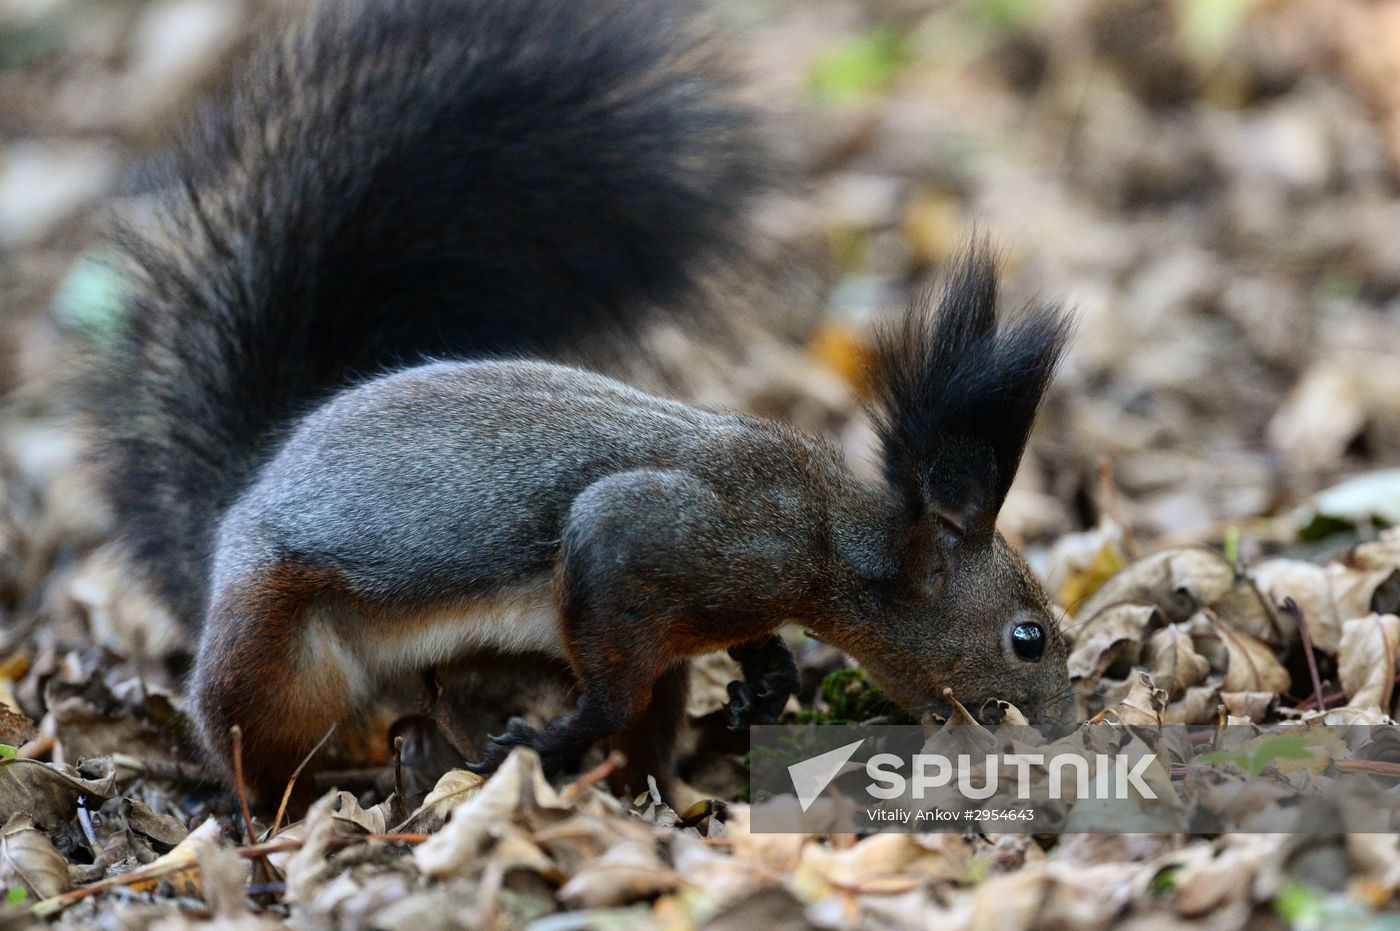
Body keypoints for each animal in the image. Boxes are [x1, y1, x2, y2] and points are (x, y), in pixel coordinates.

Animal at [85, 0, 1074, 807]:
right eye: (1026, 637)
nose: (1070, 724)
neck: (829, 537)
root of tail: (241, 502)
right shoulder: (670, 530)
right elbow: (608, 618)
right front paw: (558, 732)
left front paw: (767, 673)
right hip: (274, 649)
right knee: (253, 742)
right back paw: (288, 808)